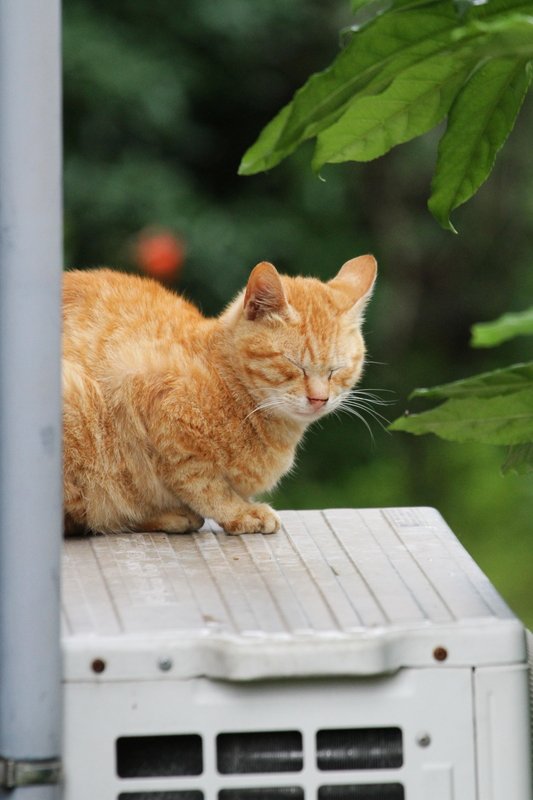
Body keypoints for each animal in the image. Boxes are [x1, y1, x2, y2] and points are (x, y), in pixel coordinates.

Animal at [62, 253, 376, 536]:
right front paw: (241, 512)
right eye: (294, 365)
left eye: (337, 369)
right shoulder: (154, 408)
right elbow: (204, 485)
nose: (319, 399)